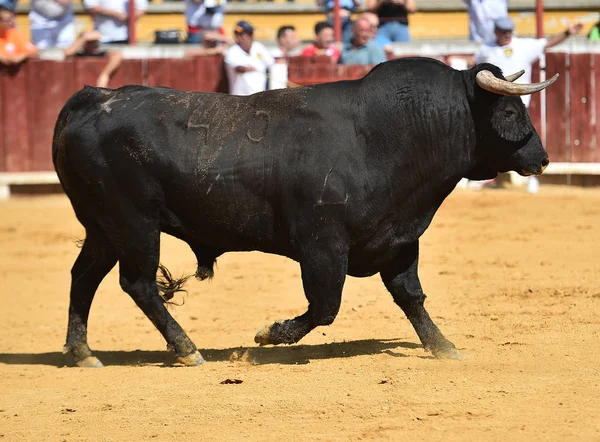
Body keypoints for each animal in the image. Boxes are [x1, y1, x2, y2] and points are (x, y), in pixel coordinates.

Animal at [52, 57, 552, 366]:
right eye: (510, 111)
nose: (543, 159)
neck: (386, 134)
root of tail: (93, 97)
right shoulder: (322, 245)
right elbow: (326, 305)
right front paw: (270, 334)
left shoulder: (399, 238)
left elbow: (411, 296)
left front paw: (444, 348)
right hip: (133, 223)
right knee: (137, 283)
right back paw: (187, 349)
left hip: (103, 226)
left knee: (83, 277)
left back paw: (83, 353)